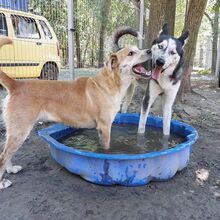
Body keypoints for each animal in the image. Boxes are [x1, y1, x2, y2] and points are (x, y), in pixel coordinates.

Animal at [0, 36, 151, 189]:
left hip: (16, 132)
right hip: (20, 131)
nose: (150, 51)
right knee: (3, 157)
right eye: (131, 53)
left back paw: (11, 169)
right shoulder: (105, 127)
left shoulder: (100, 129)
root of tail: (16, 84)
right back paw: (2, 182)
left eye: (138, 49)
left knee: (7, 153)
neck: (109, 83)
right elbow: (106, 149)